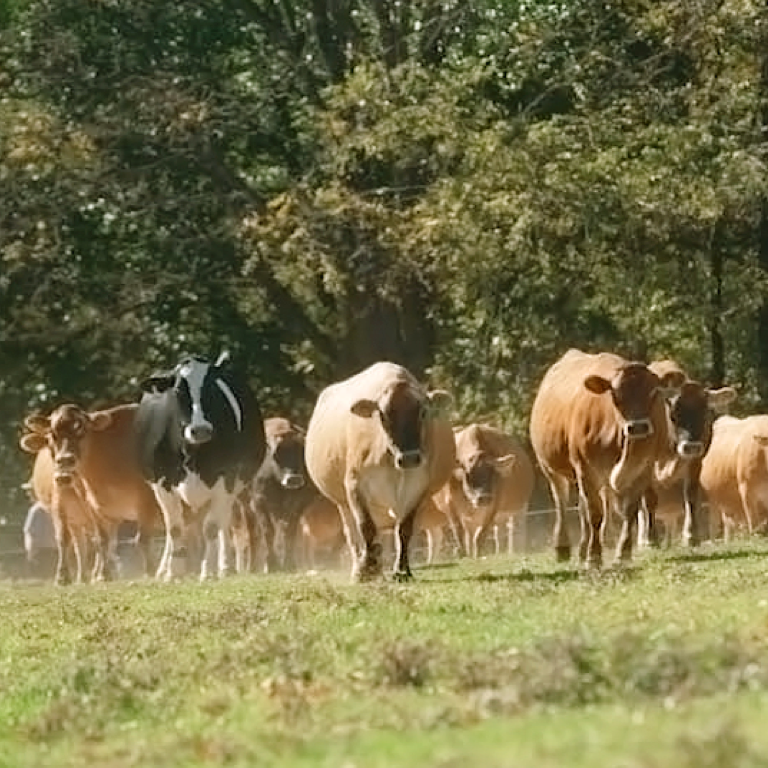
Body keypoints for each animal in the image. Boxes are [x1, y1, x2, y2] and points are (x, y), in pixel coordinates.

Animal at [19, 403, 162, 585]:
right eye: (53, 435)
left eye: (82, 430)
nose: (65, 460)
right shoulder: (83, 506)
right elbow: (89, 540)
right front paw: (70, 576)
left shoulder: (146, 498)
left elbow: (142, 538)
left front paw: (150, 571)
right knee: (83, 545)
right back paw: (85, 575)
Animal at [135, 353, 266, 581]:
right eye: (179, 390)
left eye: (213, 390)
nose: (201, 430)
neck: (191, 452)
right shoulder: (161, 482)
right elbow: (174, 528)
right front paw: (174, 571)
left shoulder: (226, 478)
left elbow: (211, 528)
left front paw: (207, 571)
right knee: (173, 526)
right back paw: (163, 569)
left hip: (235, 486)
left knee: (224, 521)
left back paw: (224, 566)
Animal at [304, 361, 455, 582]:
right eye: (383, 415)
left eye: (423, 412)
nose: (409, 458)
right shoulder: (355, 485)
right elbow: (365, 527)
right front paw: (365, 569)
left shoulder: (418, 487)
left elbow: (404, 530)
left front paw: (401, 571)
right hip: (342, 503)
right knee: (353, 535)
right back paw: (361, 566)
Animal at [436, 424, 535, 559]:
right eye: (469, 474)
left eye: (493, 474)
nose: (484, 497)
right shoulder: (450, 504)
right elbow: (458, 531)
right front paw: (463, 555)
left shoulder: (493, 507)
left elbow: (480, 535)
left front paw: (478, 555)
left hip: (518, 509)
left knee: (513, 533)